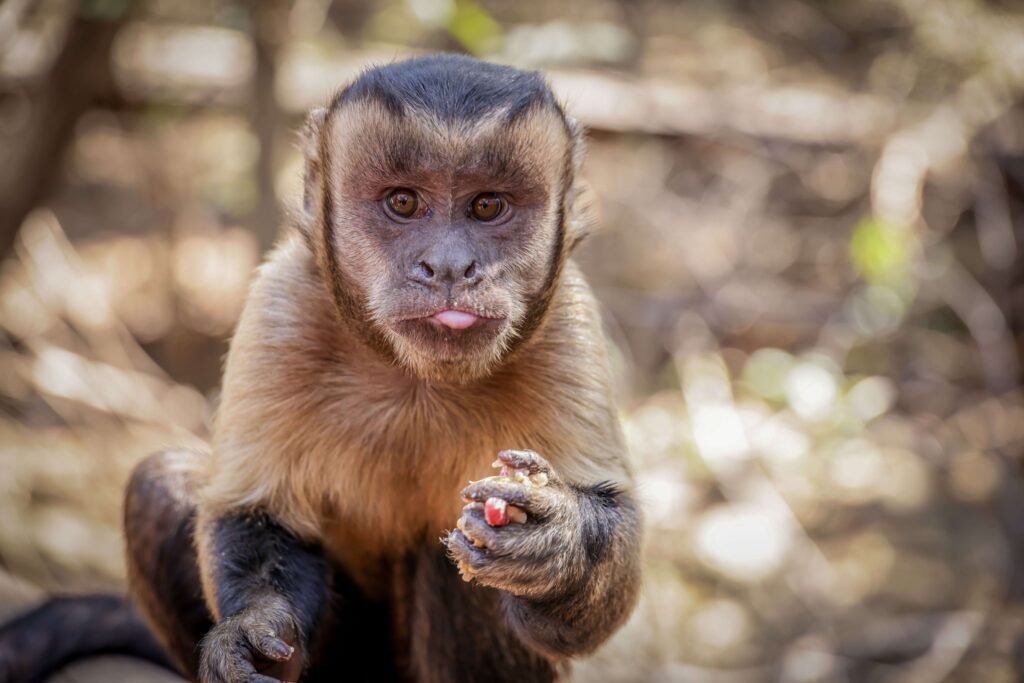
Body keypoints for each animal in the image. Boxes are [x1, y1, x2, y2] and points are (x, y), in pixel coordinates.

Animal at [0, 54, 642, 683]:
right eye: (403, 203)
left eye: (487, 206)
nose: (448, 266)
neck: (414, 377)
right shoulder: (283, 304)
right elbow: (255, 514)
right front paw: (251, 631)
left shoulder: (566, 324)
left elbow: (594, 584)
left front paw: (557, 545)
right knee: (157, 486)